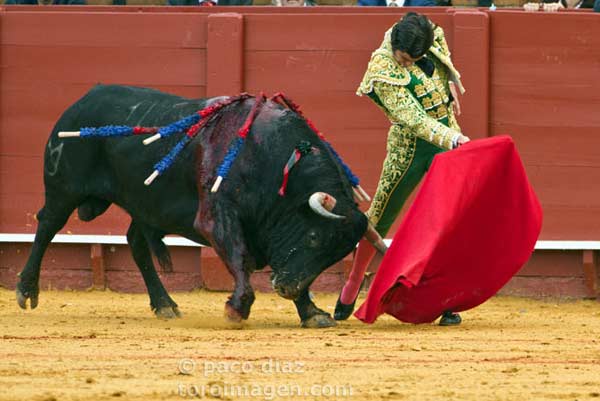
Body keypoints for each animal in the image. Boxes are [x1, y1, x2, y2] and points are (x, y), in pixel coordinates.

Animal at [17, 86, 380, 326]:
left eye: (335, 255)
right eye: (314, 238)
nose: (287, 290)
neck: (273, 160)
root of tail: (81, 101)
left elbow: (284, 265)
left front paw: (312, 312)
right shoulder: (216, 217)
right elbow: (239, 257)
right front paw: (237, 308)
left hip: (145, 204)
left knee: (136, 243)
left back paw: (164, 304)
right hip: (64, 188)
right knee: (47, 225)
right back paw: (26, 290)